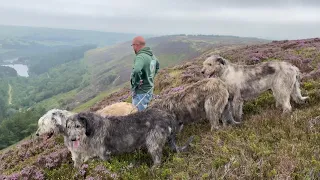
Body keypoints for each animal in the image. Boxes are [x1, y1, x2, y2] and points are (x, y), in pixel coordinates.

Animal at [62, 108, 192, 169]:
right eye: (68, 127)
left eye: (77, 126)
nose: (72, 139)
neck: (93, 127)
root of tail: (168, 116)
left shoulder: (104, 155)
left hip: (153, 143)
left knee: (158, 159)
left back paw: (153, 169)